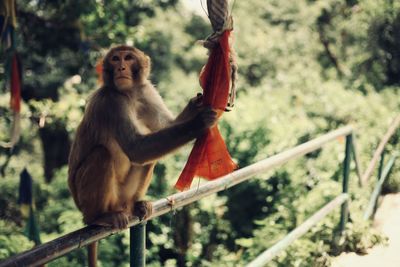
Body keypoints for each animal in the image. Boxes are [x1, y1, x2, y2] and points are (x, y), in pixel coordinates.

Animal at [67, 45, 217, 266]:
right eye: (115, 59)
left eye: (128, 58)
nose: (121, 67)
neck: (129, 93)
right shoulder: (112, 102)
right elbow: (136, 148)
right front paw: (199, 122)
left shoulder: (146, 92)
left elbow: (166, 126)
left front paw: (196, 104)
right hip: (93, 200)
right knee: (102, 154)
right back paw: (98, 217)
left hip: (123, 197)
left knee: (149, 160)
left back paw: (137, 205)